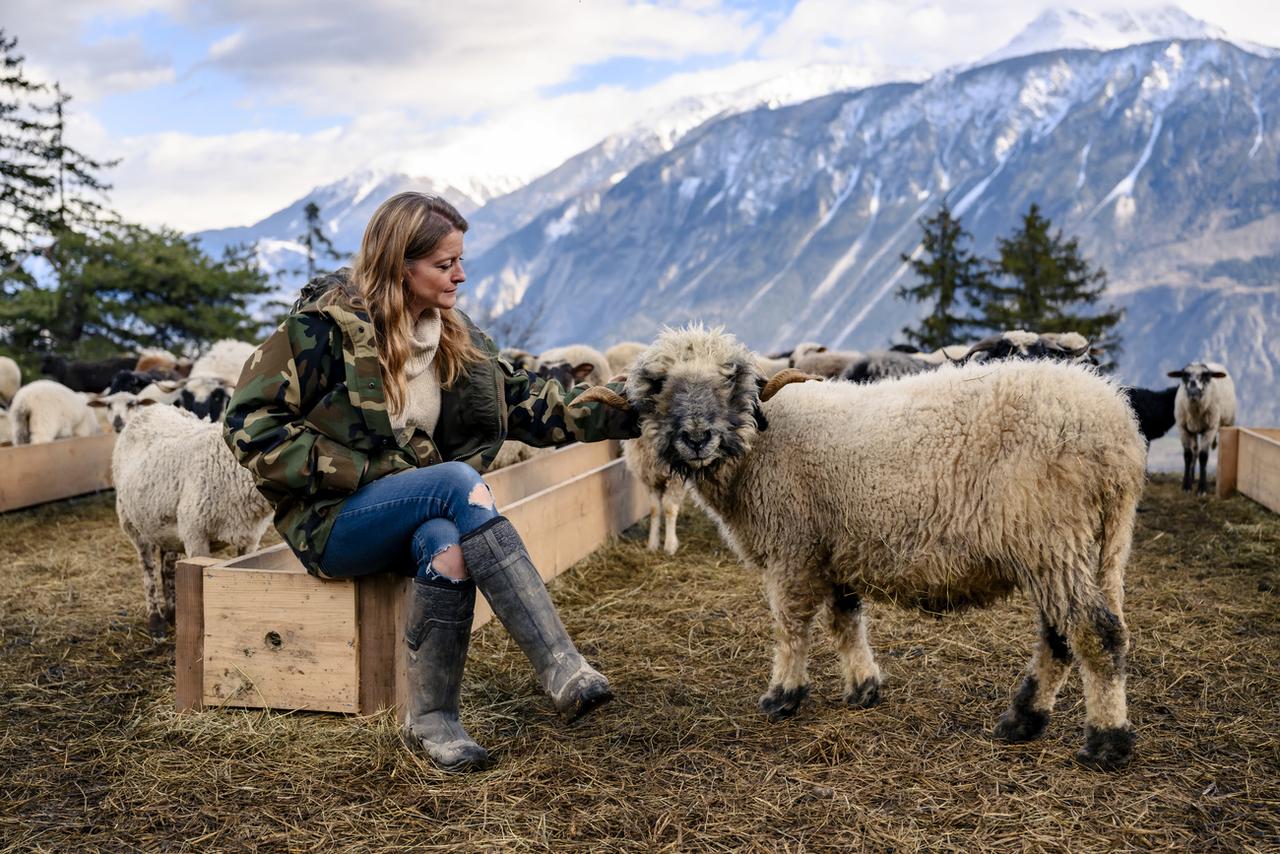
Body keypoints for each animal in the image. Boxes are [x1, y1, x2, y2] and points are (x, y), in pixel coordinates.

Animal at [115, 404, 275, 637]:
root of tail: (152, 407)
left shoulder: (250, 539)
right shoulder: (195, 534)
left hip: (165, 525)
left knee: (167, 565)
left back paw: (173, 612)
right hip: (133, 522)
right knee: (148, 568)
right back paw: (155, 621)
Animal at [581, 327, 1152, 773]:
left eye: (730, 380)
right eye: (660, 386)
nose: (698, 437)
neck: (760, 441)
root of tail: (1117, 428)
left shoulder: (793, 548)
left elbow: (792, 627)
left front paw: (783, 695)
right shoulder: (835, 549)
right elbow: (846, 622)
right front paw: (863, 688)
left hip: (1050, 536)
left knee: (1095, 633)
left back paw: (1105, 742)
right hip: (1086, 545)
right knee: (1063, 634)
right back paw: (1023, 720)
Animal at [1167, 361, 1233, 494]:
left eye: (1206, 376)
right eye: (1184, 375)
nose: (1193, 392)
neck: (1195, 413)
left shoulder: (1210, 429)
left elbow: (1204, 456)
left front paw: (1202, 488)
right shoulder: (1182, 428)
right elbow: (1188, 455)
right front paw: (1186, 486)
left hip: (1228, 423)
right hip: (1193, 430)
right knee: (1195, 451)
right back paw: (1191, 478)